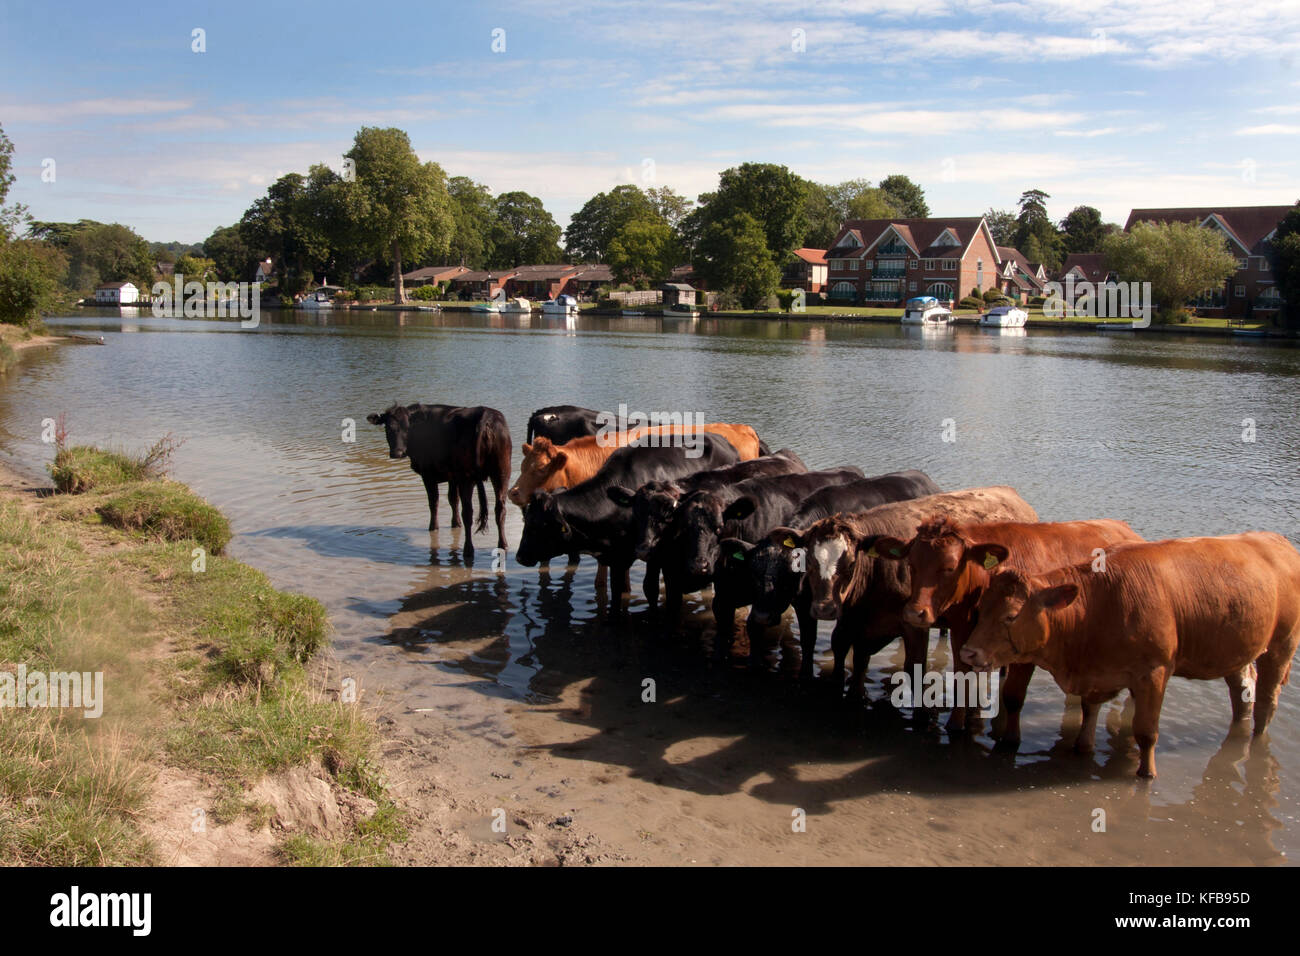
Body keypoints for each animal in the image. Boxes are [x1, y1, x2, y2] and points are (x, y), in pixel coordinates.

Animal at [367, 403, 512, 551]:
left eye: (407, 428)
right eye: (388, 427)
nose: (397, 453)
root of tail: (485, 414)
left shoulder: (428, 475)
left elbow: (433, 501)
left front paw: (433, 527)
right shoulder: (453, 477)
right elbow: (453, 499)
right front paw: (455, 523)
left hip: (468, 477)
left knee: (468, 512)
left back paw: (468, 548)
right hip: (502, 471)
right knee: (500, 509)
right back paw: (503, 544)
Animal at [514, 435, 742, 610]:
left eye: (539, 525)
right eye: (526, 520)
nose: (519, 557)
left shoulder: (646, 555)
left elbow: (643, 588)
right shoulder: (615, 557)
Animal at [775, 487, 1037, 705]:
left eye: (850, 564)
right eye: (809, 562)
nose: (824, 609)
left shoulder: (914, 625)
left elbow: (915, 669)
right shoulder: (853, 620)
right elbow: (850, 655)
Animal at [869, 517, 1144, 738]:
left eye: (949, 567)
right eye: (911, 564)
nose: (914, 612)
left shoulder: (1025, 649)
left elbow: (1013, 696)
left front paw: (1010, 740)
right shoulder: (963, 632)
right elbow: (962, 681)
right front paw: (956, 726)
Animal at [960, 532, 1300, 778]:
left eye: (1011, 616)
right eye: (981, 606)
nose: (969, 651)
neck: (1098, 604)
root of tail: (1278, 542)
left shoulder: (1154, 673)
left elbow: (1146, 731)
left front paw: (1146, 773)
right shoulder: (1099, 672)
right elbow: (1089, 710)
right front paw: (1084, 747)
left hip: (1282, 645)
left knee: (1267, 701)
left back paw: (1256, 738)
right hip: (1236, 651)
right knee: (1243, 690)